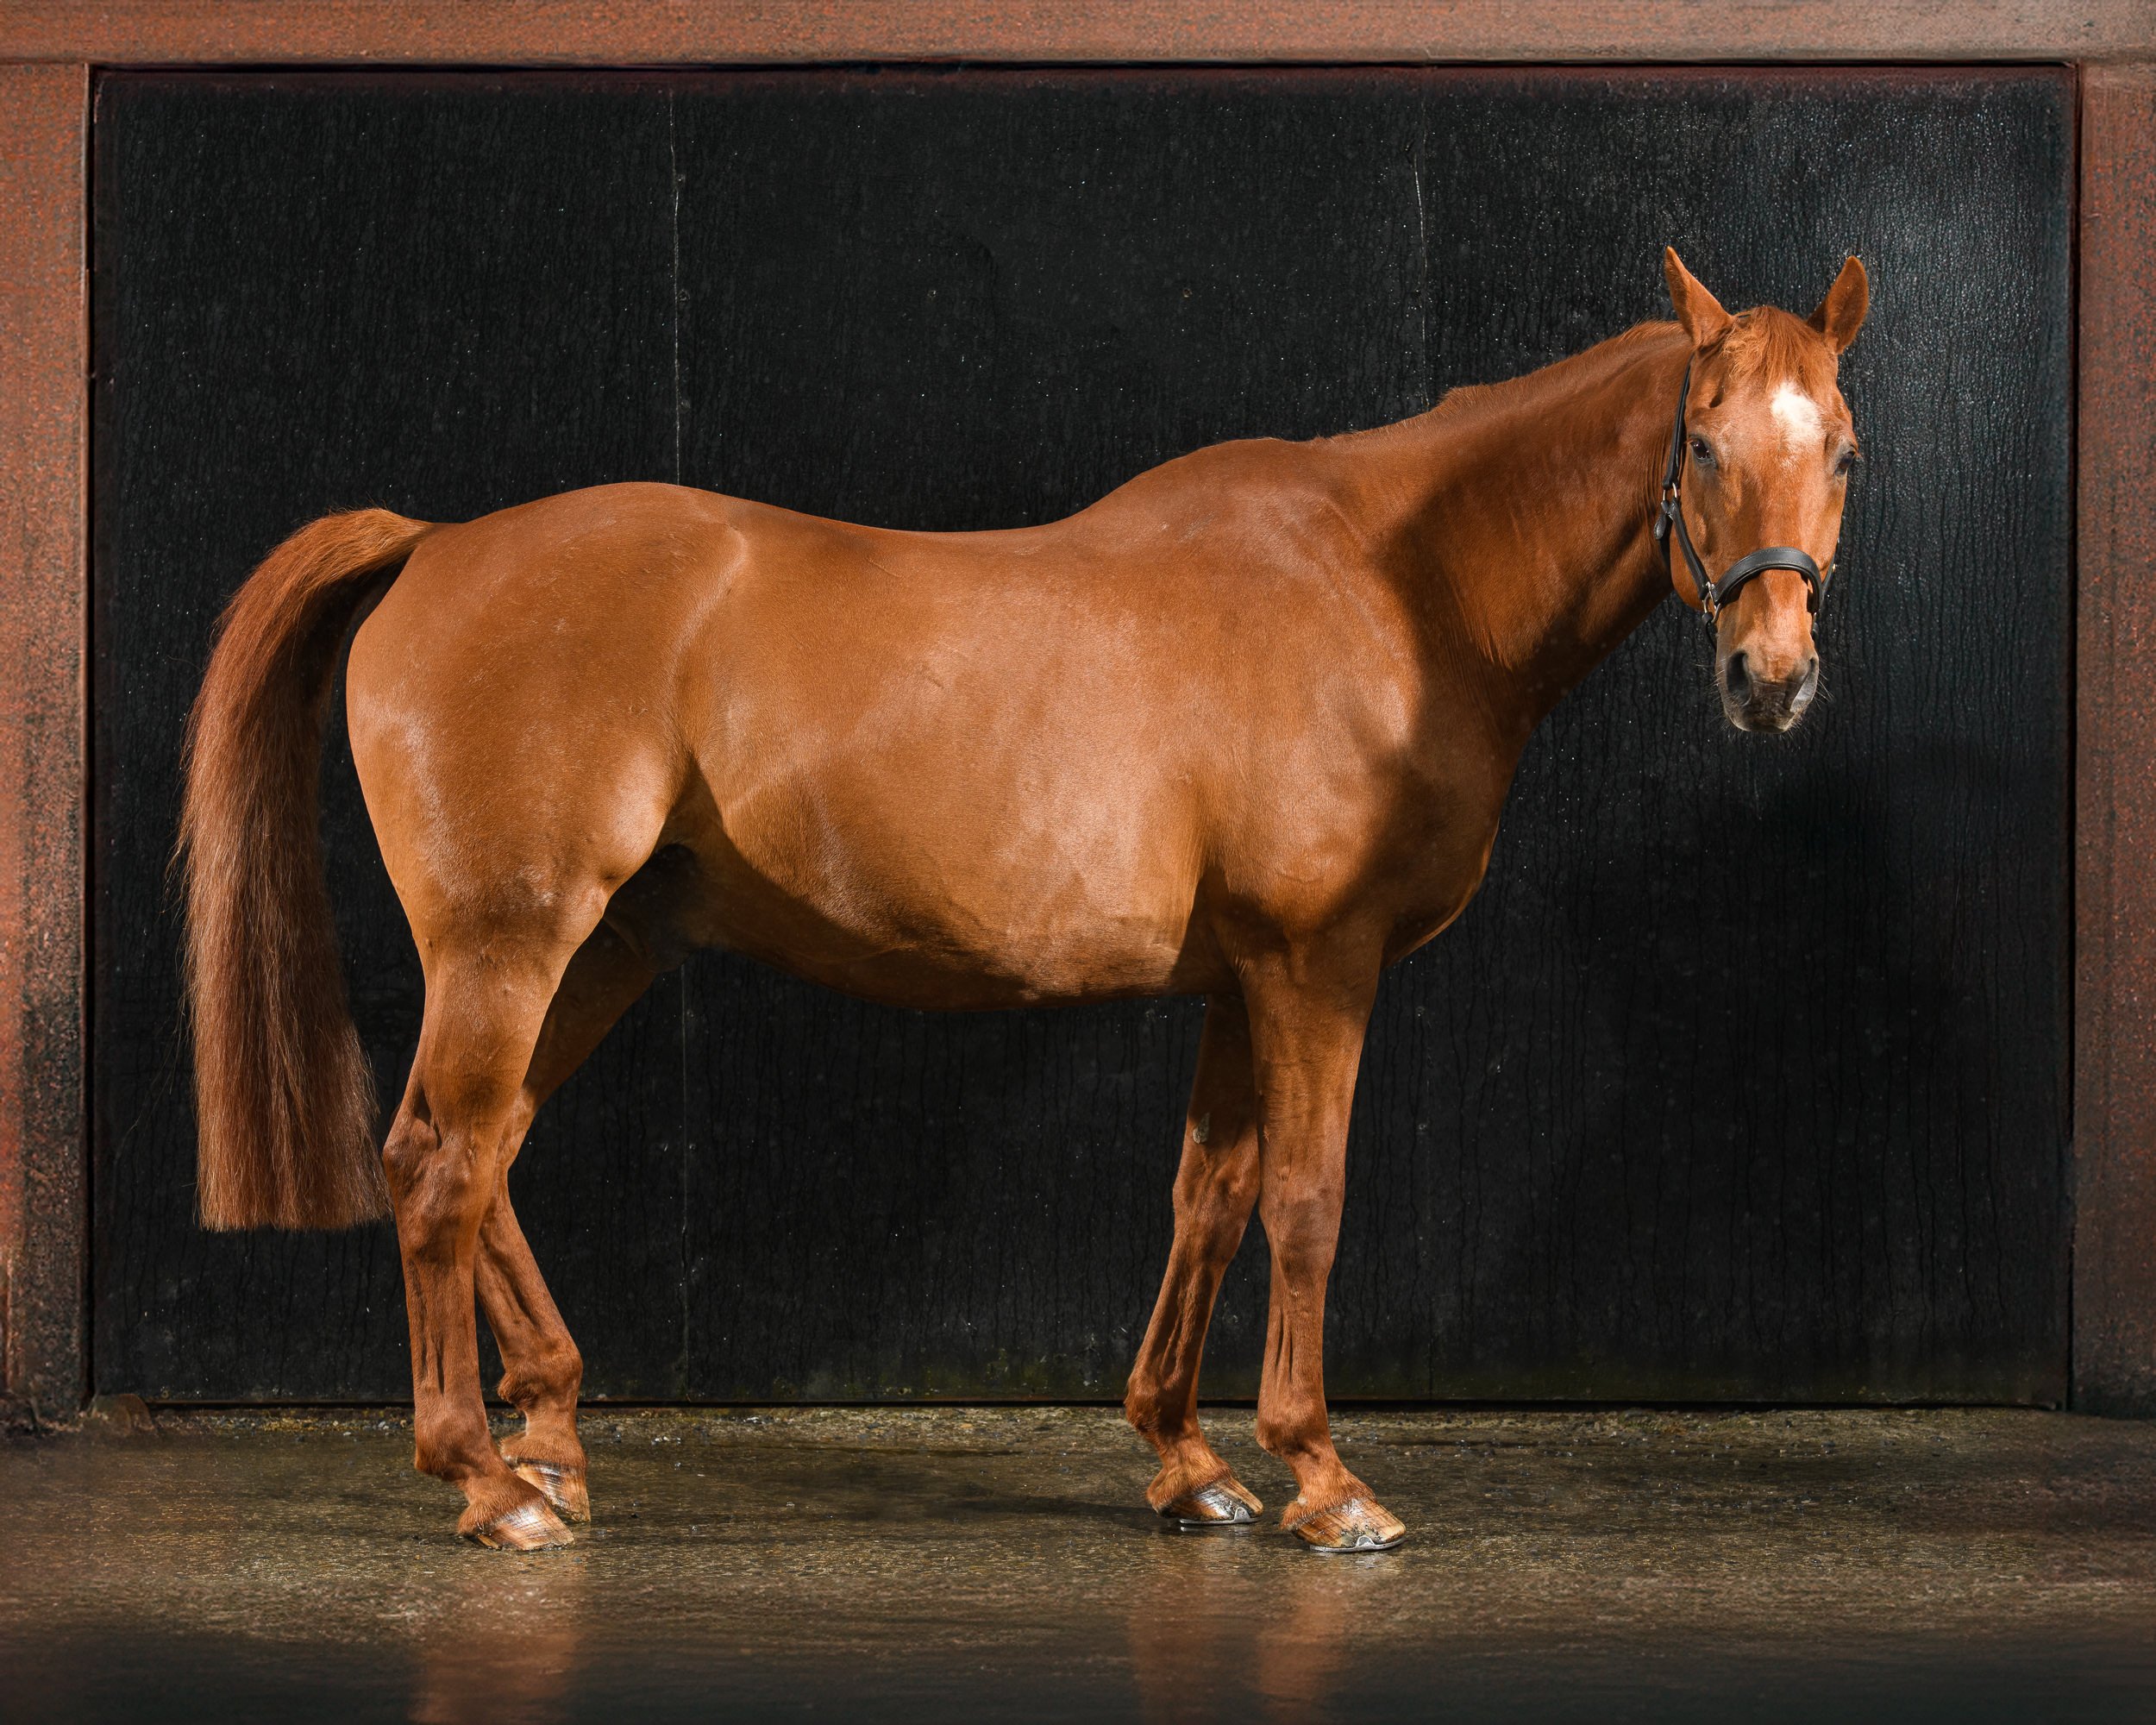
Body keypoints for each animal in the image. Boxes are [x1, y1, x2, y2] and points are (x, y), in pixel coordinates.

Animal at [180, 247, 1868, 1553]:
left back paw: (550, 1444)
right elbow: (1309, 1206)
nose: (1771, 679)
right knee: (438, 1167)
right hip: (511, 943)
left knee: (489, 1157)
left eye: (1843, 450)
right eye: (1702, 444)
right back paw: (486, 1483)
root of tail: (437, 545)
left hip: (599, 952)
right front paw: (1325, 1480)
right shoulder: (1317, 965)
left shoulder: (1239, 980)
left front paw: (1189, 1464)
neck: (1393, 591)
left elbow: (1210, 1197)